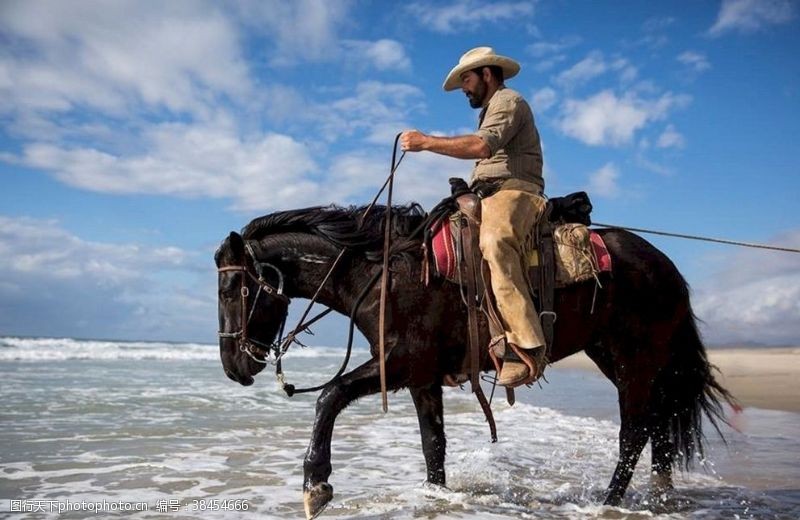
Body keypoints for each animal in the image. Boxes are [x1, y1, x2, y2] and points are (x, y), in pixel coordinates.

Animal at [214, 202, 736, 516]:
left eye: (234, 288)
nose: (234, 367)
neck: (384, 272)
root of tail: (666, 266)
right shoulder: (421, 377)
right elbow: (433, 445)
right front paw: (436, 497)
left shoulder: (399, 362)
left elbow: (330, 397)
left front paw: (316, 485)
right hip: (615, 355)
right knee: (658, 425)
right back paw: (658, 495)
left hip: (635, 360)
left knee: (634, 432)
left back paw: (610, 502)